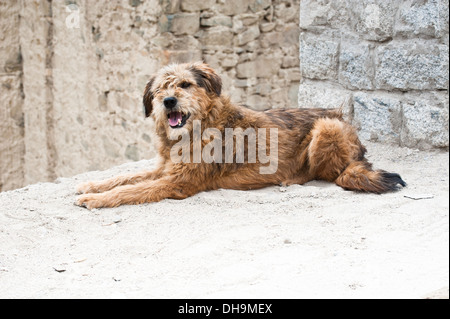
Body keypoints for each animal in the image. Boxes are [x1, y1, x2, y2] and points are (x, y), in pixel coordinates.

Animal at [75, 62, 406, 210]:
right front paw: (92, 185)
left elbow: (132, 189)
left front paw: (95, 198)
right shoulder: (165, 169)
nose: (168, 101)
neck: (201, 125)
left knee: (333, 174)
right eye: (159, 91)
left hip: (327, 127)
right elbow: (127, 177)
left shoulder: (178, 182)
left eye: (184, 85)